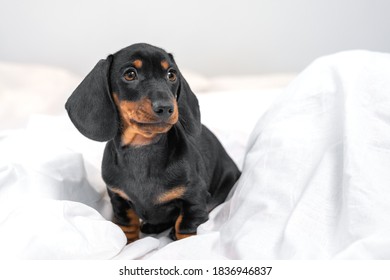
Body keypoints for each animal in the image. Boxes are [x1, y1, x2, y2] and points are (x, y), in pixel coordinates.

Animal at [65, 43, 239, 243]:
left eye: (171, 74)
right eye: (130, 74)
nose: (166, 107)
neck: (142, 148)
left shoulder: (195, 197)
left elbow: (186, 226)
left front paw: (183, 242)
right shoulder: (118, 198)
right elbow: (126, 224)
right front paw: (128, 243)